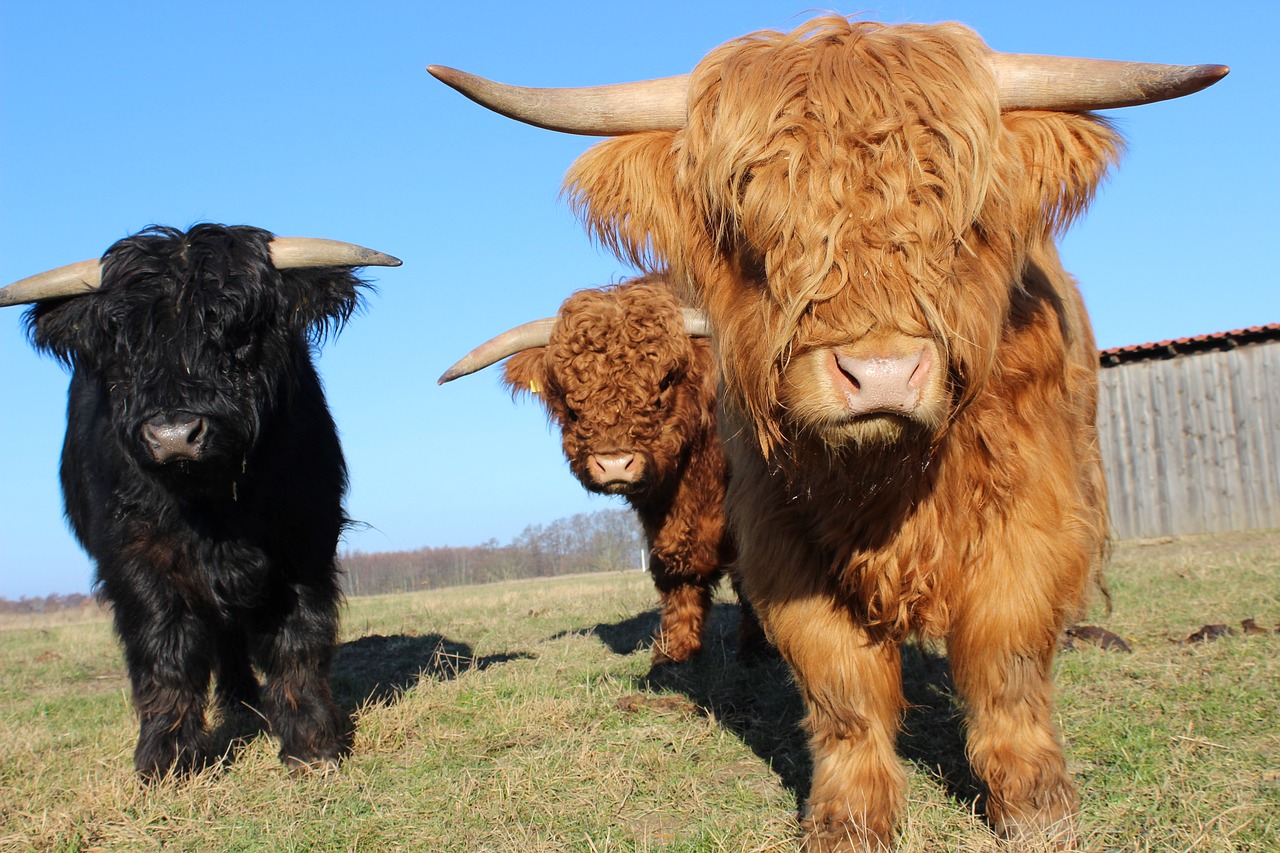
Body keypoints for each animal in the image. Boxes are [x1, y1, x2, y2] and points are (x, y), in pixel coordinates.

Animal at [1, 220, 399, 778]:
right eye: (126, 344)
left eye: (237, 332)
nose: (173, 435)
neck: (216, 506)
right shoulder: (133, 556)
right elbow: (165, 649)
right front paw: (167, 757)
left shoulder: (306, 538)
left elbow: (298, 637)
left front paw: (313, 742)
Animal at [440, 272, 757, 666]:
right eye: (567, 394)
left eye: (667, 380)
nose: (615, 464)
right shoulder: (662, 523)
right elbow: (675, 577)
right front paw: (674, 655)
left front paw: (754, 650)